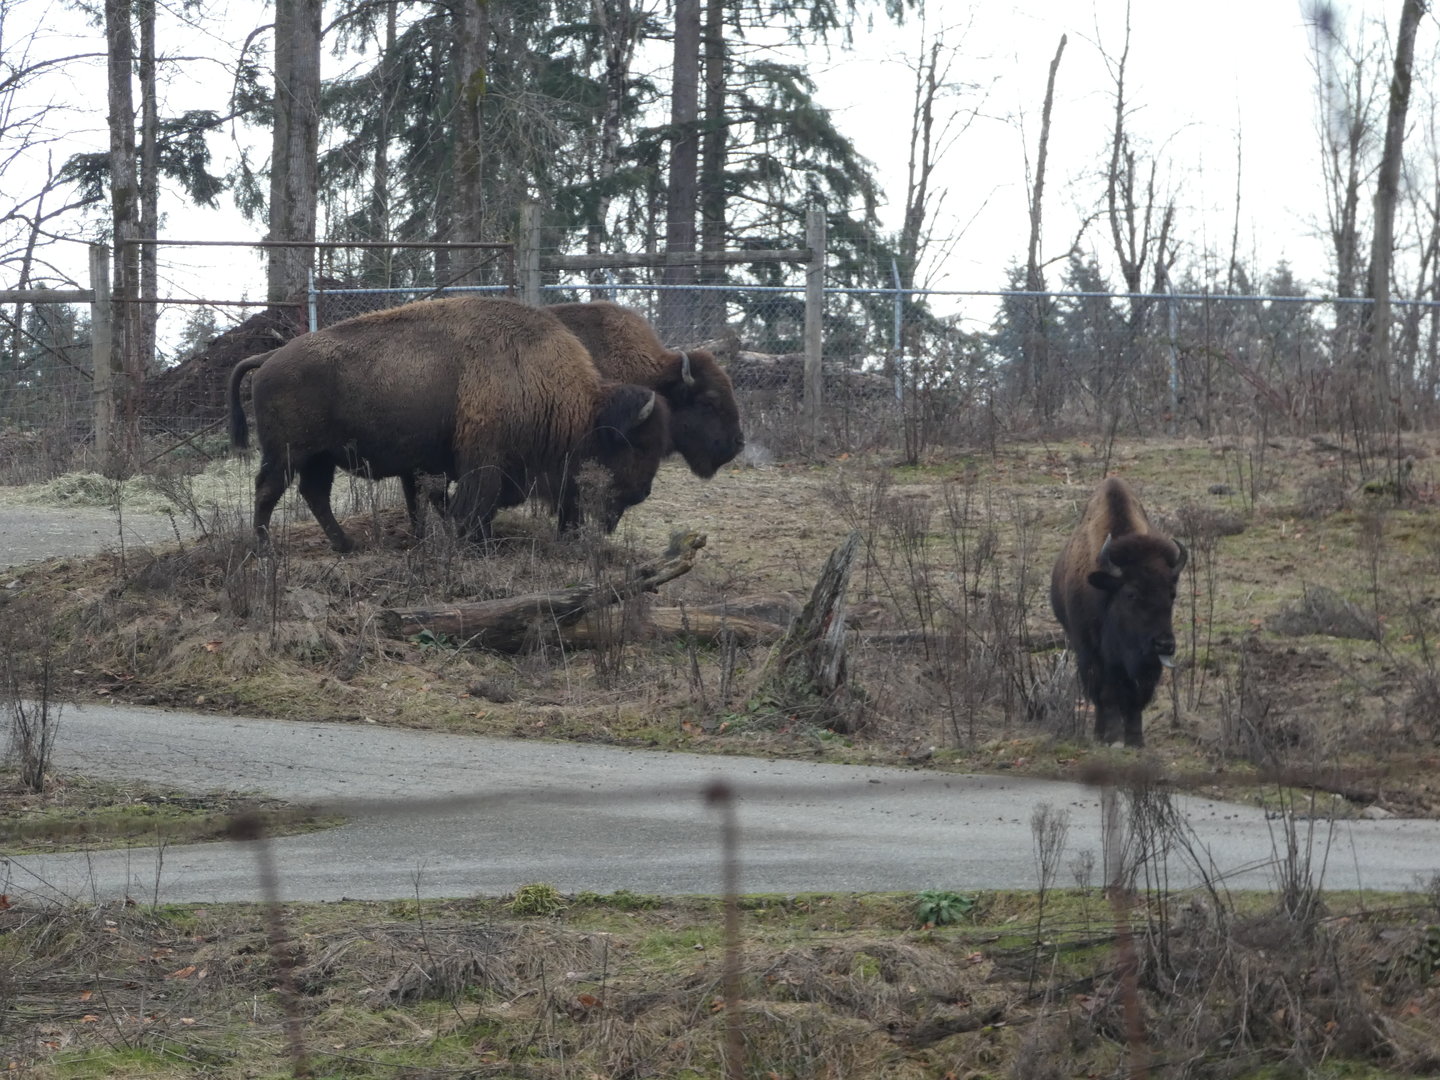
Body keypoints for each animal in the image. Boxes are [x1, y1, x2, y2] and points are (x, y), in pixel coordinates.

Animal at [227, 297, 669, 552]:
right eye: (637, 444)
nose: (644, 492)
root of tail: (270, 358)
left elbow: (436, 502)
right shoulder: (484, 462)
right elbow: (470, 505)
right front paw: (471, 544)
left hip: (319, 458)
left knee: (313, 494)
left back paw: (346, 545)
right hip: (287, 454)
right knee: (268, 491)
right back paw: (265, 548)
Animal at [1050, 477, 1188, 748]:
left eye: (1172, 593)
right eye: (1131, 594)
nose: (1164, 644)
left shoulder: (1142, 667)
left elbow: (1136, 698)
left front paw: (1135, 740)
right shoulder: (1093, 653)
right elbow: (1106, 694)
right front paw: (1112, 737)